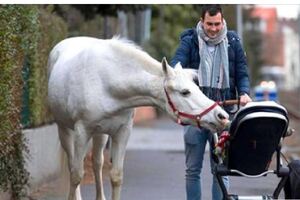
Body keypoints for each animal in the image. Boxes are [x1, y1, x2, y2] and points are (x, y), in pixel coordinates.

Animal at [47, 36, 230, 200]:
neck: (106, 82)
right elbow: (76, 174)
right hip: (65, 130)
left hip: (100, 134)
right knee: (73, 165)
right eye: (185, 92)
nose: (222, 116)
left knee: (97, 163)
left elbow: (116, 176)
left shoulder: (122, 132)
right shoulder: (82, 132)